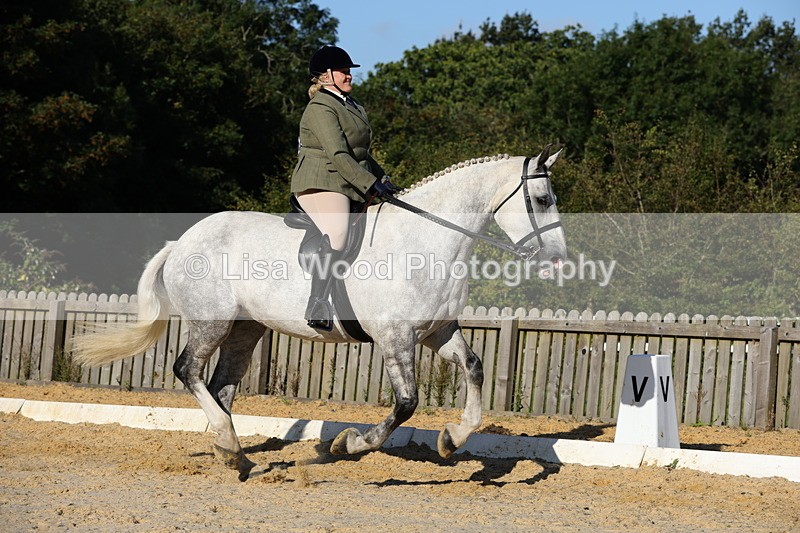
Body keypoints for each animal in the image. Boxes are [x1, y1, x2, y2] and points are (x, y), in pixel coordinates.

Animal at [74, 149, 567, 481]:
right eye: (542, 199)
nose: (557, 259)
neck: (425, 241)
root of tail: (183, 241)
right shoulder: (395, 337)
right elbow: (406, 403)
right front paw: (347, 445)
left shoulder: (437, 332)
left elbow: (475, 368)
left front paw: (452, 439)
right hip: (210, 322)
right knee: (188, 370)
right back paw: (229, 445)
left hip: (245, 330)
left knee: (220, 387)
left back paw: (233, 455)